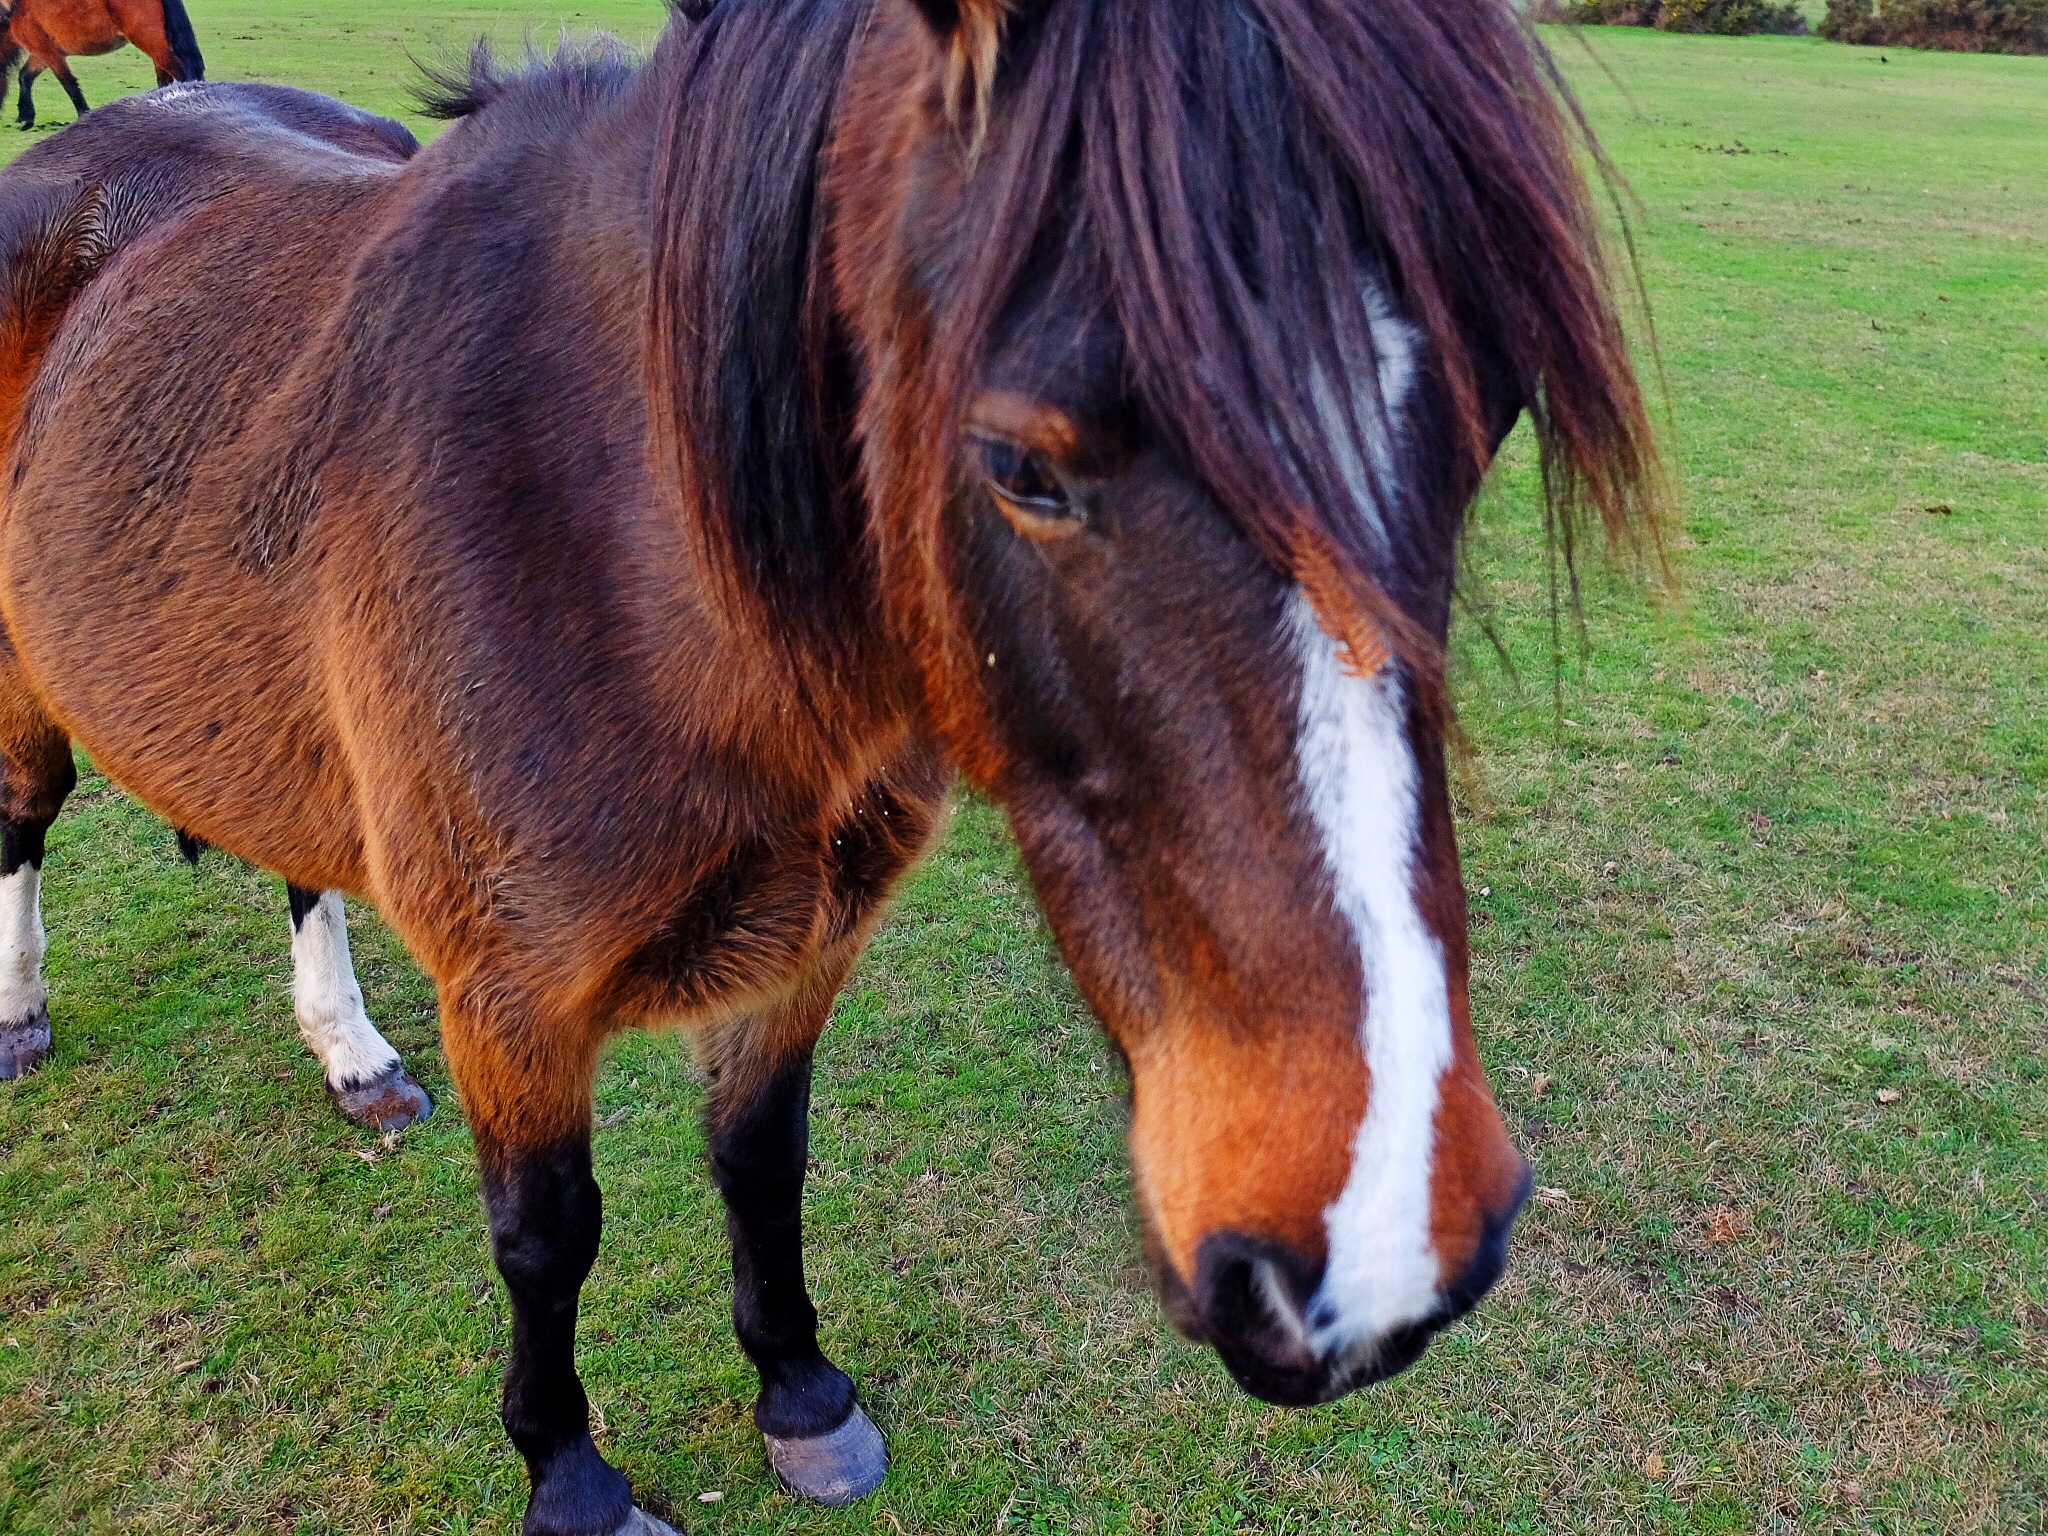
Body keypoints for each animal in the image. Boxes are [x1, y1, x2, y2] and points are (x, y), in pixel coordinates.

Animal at [0, 0, 204, 130]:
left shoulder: (45, 51)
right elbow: (25, 76)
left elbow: (69, 85)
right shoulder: (45, 52)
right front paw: (25, 116)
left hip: (152, 43)